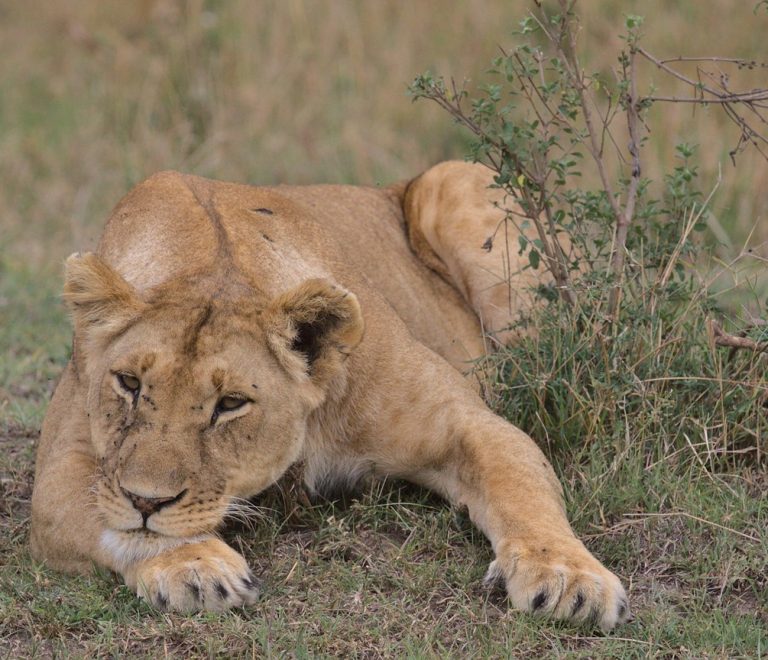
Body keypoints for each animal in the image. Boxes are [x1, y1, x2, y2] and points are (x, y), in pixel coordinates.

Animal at [30, 161, 629, 630]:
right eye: (129, 384)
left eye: (230, 404)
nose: (147, 500)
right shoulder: (63, 469)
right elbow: (115, 519)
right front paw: (194, 566)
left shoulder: (466, 422)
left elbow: (519, 487)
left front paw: (569, 579)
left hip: (457, 179)